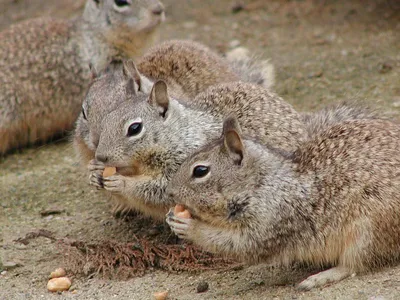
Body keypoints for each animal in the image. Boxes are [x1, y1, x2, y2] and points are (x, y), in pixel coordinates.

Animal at [87, 80, 306, 220]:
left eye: (134, 128)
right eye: (106, 120)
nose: (101, 156)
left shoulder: (181, 164)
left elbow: (157, 191)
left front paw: (122, 183)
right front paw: (94, 171)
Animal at [165, 116, 400, 290]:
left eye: (200, 171)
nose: (170, 192)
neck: (262, 182)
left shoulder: (271, 221)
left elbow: (238, 244)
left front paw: (188, 226)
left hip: (366, 232)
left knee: (355, 265)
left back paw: (319, 278)